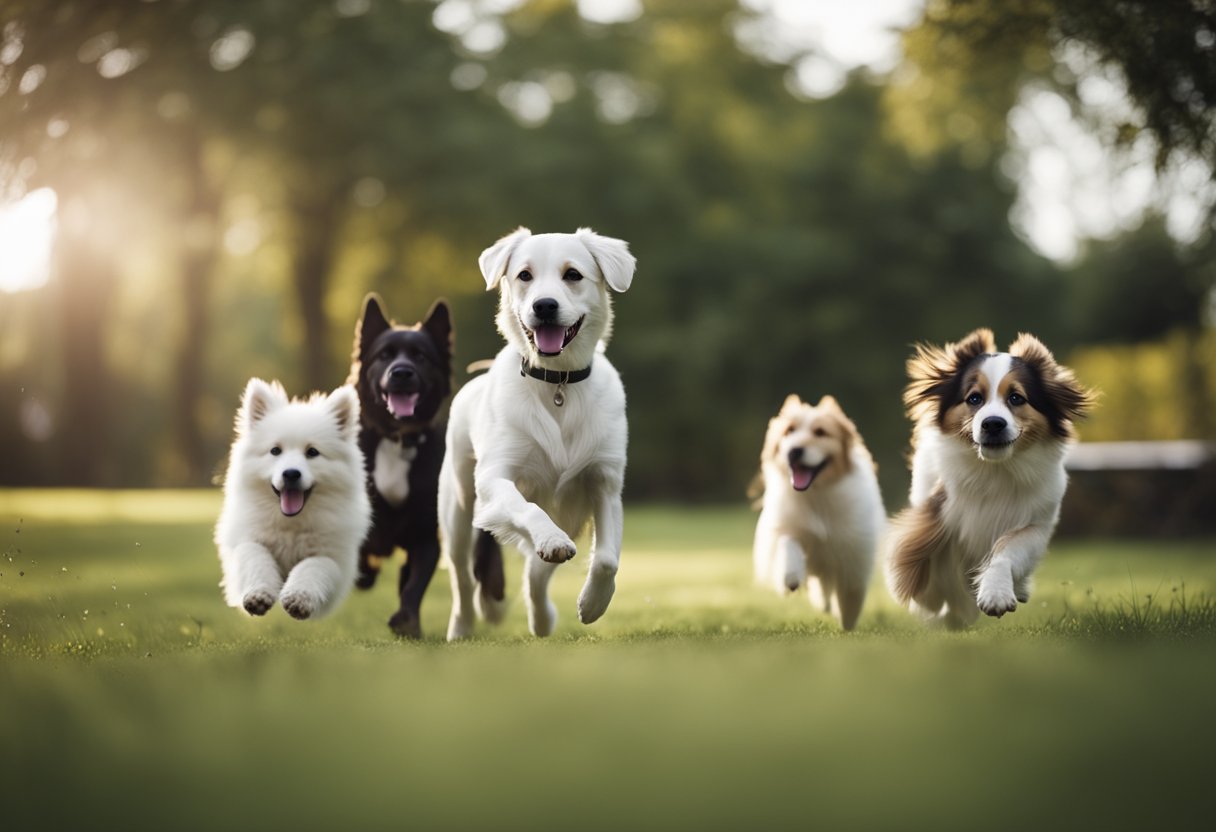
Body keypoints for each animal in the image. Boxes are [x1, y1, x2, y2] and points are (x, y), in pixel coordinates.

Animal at [216, 379, 369, 620]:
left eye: (312, 452)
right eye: (275, 450)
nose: (291, 474)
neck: (291, 524)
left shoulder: (334, 557)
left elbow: (312, 566)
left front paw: (298, 597)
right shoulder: (246, 540)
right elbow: (255, 557)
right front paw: (258, 595)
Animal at [350, 291, 454, 637]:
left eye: (420, 357)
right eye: (384, 355)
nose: (402, 372)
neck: (397, 438)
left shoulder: (425, 536)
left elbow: (414, 585)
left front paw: (407, 620)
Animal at [445, 226, 637, 637]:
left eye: (573, 274)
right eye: (524, 275)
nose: (544, 306)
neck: (557, 383)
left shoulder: (605, 482)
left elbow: (607, 559)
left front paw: (592, 604)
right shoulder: (495, 478)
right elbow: (528, 508)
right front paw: (550, 539)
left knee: (535, 572)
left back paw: (542, 618)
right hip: (457, 508)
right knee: (462, 576)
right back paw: (461, 628)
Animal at [749, 396, 885, 632]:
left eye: (820, 432)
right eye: (789, 431)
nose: (794, 451)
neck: (815, 495)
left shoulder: (855, 549)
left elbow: (852, 592)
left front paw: (847, 622)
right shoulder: (786, 528)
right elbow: (787, 544)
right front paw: (790, 576)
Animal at [880, 328, 1099, 627]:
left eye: (1017, 398)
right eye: (974, 398)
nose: (993, 424)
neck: (995, 470)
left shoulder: (1037, 522)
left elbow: (1007, 550)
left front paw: (996, 594)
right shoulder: (942, 512)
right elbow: (925, 556)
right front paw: (939, 604)